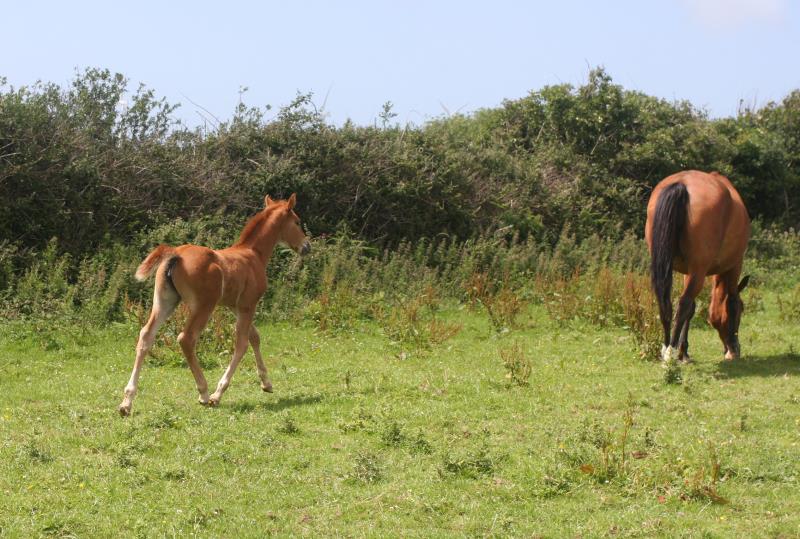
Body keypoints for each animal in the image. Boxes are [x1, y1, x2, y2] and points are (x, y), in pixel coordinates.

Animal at [120, 195, 310, 418]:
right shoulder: (248, 305)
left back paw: (127, 402)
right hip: (204, 305)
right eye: (297, 221)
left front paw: (266, 383)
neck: (253, 254)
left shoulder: (235, 306)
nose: (307, 246)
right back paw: (203, 392)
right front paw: (218, 394)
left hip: (164, 301)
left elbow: (255, 337)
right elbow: (242, 344)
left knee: (146, 336)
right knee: (186, 339)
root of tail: (176, 253)